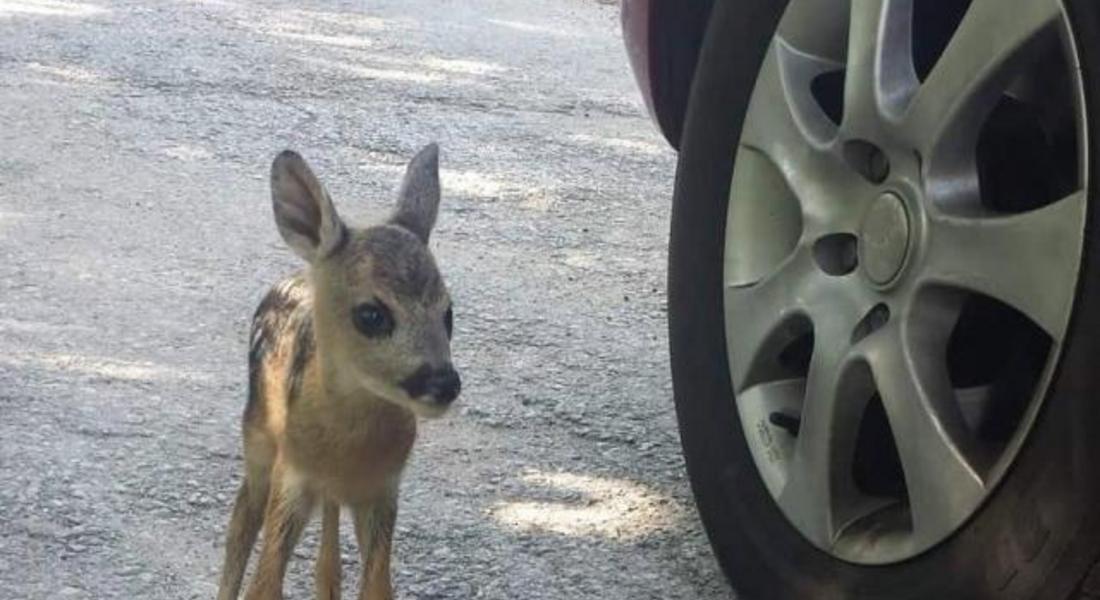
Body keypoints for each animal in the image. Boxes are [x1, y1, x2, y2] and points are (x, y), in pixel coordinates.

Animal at [216, 145, 462, 598]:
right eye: (371, 314)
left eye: (449, 313)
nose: (444, 383)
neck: (345, 454)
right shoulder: (293, 475)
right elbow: (264, 584)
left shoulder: (383, 489)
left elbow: (378, 587)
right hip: (258, 436)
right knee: (240, 524)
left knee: (326, 561)